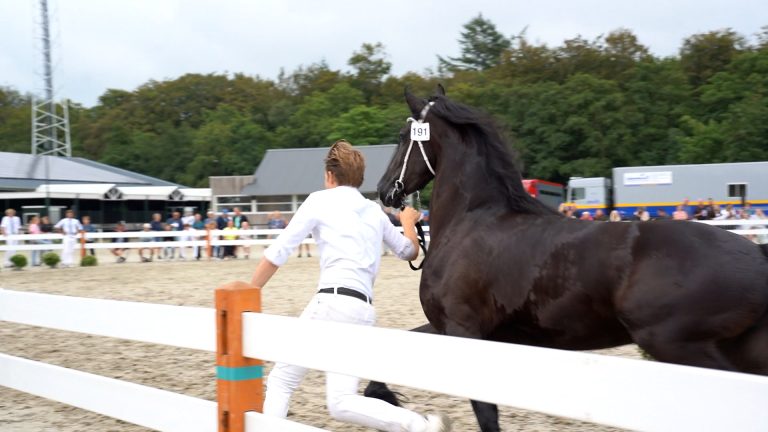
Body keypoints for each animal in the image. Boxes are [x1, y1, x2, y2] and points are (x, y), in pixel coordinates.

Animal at [367, 86, 768, 431]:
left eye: (402, 137)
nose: (386, 191)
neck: (472, 220)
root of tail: (757, 254)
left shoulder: (463, 329)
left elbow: (486, 414)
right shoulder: (460, 330)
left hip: (678, 346)